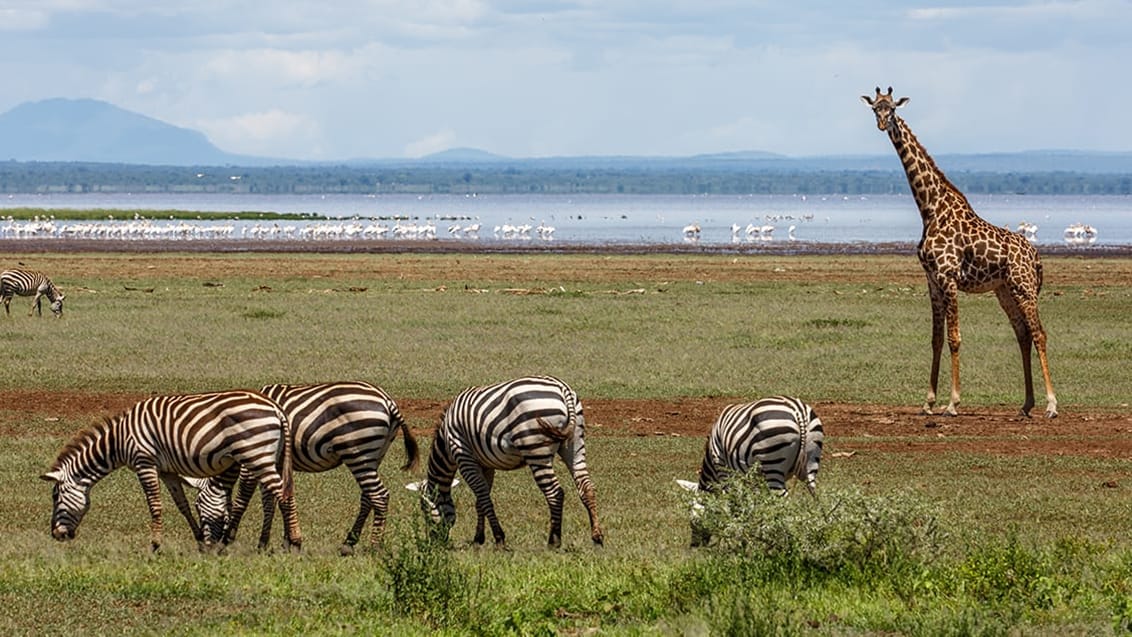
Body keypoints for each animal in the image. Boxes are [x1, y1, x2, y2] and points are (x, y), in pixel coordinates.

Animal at [42, 391, 303, 549]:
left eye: (55, 496)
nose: (56, 535)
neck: (119, 440)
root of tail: (275, 407)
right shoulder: (167, 471)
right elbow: (181, 504)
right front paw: (199, 539)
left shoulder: (144, 462)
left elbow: (155, 505)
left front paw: (155, 545)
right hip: (269, 457)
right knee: (281, 494)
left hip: (256, 454)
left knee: (284, 494)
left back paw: (295, 541)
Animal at [190, 382, 421, 556]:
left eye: (198, 505)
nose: (203, 547)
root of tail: (387, 400)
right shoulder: (275, 463)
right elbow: (273, 502)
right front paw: (276, 542)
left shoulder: (253, 460)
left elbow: (242, 500)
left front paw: (227, 541)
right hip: (373, 455)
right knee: (368, 497)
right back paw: (349, 544)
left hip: (358, 452)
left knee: (379, 495)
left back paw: (375, 547)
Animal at [418, 375, 602, 549]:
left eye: (424, 509)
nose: (435, 542)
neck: (446, 442)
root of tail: (562, 388)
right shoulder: (485, 464)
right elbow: (480, 500)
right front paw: (479, 538)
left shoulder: (463, 456)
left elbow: (483, 496)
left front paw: (499, 538)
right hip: (574, 444)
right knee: (586, 486)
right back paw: (597, 537)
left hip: (535, 449)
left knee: (555, 493)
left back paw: (553, 541)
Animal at [670, 393, 824, 547]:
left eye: (693, 517)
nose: (694, 546)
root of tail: (798, 411)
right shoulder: (754, 480)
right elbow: (755, 503)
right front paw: (756, 532)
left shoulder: (724, 469)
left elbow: (735, 504)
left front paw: (738, 537)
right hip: (810, 464)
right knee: (816, 498)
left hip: (771, 464)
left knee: (783, 501)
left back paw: (784, 539)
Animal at [860, 87, 1055, 420]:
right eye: (875, 108)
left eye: (893, 108)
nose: (883, 124)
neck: (929, 209)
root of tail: (1036, 256)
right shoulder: (932, 280)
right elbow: (936, 339)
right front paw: (928, 402)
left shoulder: (948, 276)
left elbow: (954, 338)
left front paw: (953, 403)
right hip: (1005, 290)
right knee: (1023, 334)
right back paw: (1026, 404)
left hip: (1024, 286)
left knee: (1039, 333)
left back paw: (1052, 405)